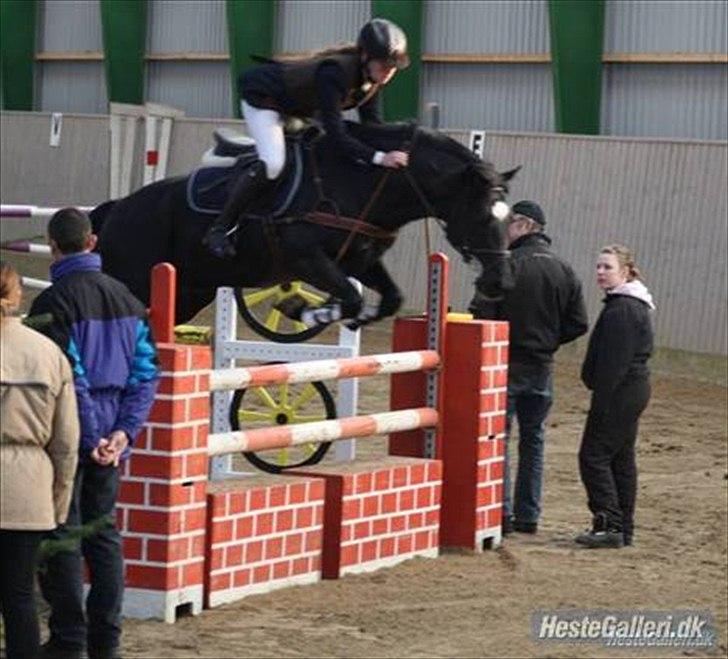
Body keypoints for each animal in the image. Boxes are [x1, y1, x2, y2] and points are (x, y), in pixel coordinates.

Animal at [92, 121, 516, 328]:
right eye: (481, 216)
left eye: (508, 218)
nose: (500, 283)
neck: (359, 182)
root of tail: (117, 209)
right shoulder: (306, 259)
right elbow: (349, 297)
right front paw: (302, 310)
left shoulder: (360, 260)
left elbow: (388, 299)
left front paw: (352, 318)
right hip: (135, 281)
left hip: (189, 293)